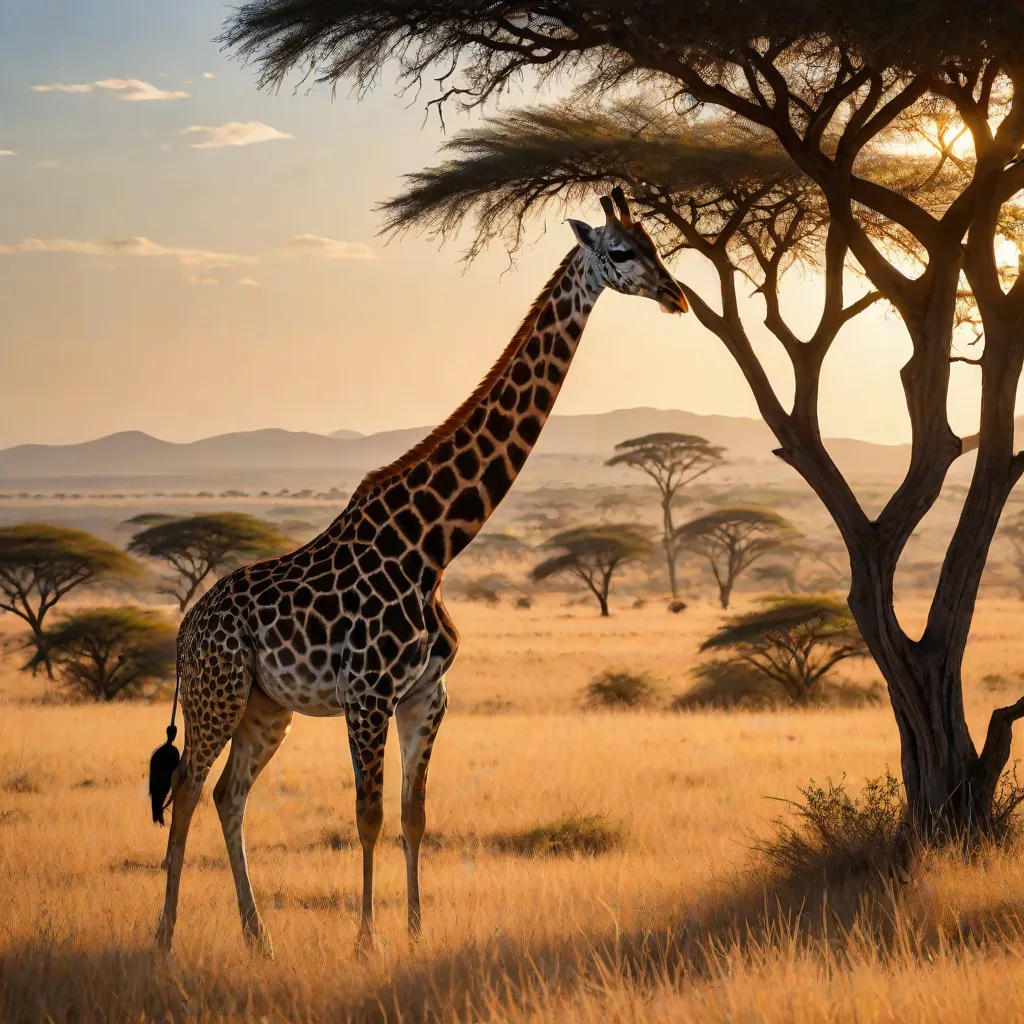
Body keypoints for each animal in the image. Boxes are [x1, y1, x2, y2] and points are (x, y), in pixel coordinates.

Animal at [148, 187, 689, 955]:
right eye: (621, 250)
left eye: (656, 244)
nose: (677, 295)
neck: (433, 547)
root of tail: (185, 628)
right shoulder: (368, 694)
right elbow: (368, 816)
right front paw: (366, 942)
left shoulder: (426, 695)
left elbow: (414, 817)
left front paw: (413, 933)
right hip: (214, 694)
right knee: (189, 792)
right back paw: (164, 940)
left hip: (265, 706)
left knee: (229, 795)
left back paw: (259, 940)